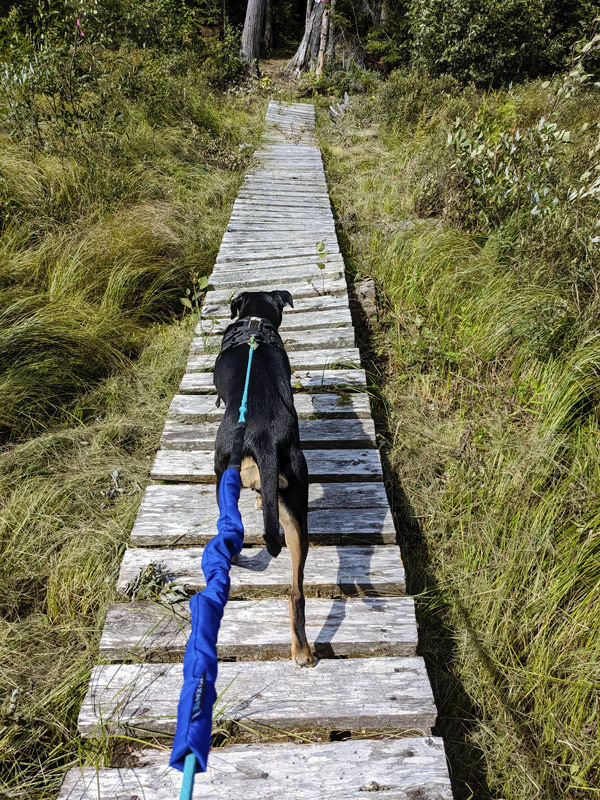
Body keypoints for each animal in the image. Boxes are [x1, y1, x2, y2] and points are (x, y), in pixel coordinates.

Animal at [212, 290, 314, 664]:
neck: (255, 322)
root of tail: (266, 437)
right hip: (297, 510)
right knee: (297, 592)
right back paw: (302, 650)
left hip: (220, 468)